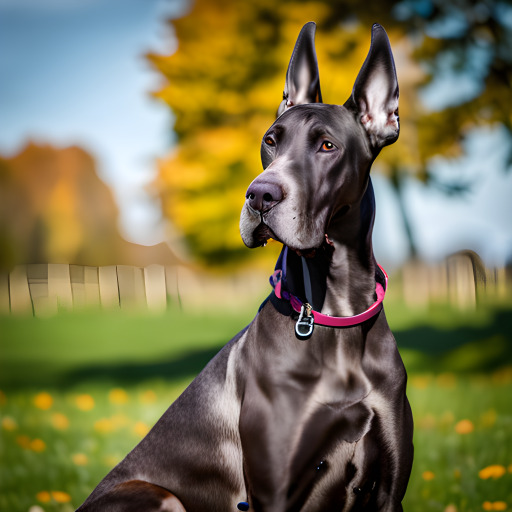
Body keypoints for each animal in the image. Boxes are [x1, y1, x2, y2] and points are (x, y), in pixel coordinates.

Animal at [77, 22, 412, 512]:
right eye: (271, 140)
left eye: (327, 145)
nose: (260, 195)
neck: (335, 315)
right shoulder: (273, 489)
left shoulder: (388, 490)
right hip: (158, 495)